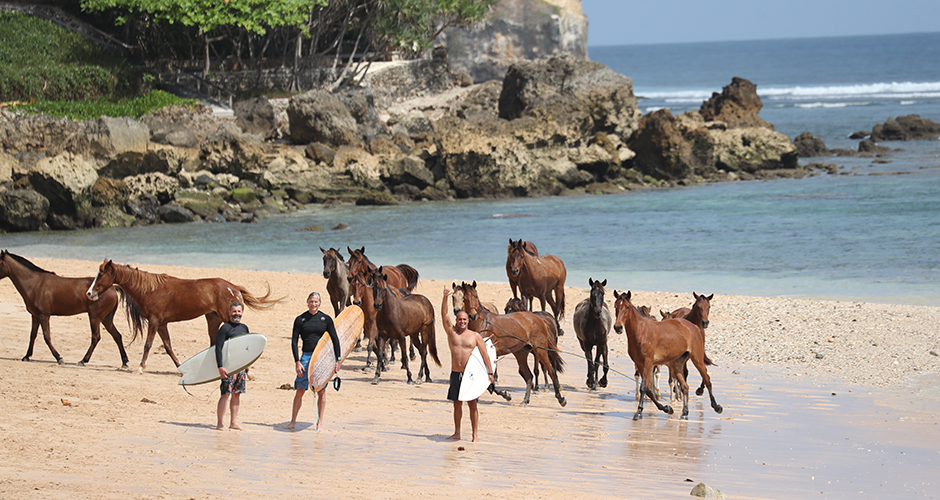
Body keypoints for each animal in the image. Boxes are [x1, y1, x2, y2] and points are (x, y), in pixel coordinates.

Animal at [0, 252, 130, 370]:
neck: (35, 284)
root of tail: (113, 288)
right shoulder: (35, 316)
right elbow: (33, 335)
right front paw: (26, 356)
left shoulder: (44, 315)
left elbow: (47, 337)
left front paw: (59, 358)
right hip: (106, 319)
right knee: (117, 336)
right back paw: (124, 362)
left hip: (95, 317)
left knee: (96, 337)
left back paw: (83, 360)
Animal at [86, 262, 280, 372]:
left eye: (101, 274)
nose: (89, 293)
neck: (150, 290)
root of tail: (234, 288)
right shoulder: (161, 324)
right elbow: (168, 347)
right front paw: (180, 368)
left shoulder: (154, 321)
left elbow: (148, 345)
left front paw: (140, 368)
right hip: (213, 319)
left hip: (227, 319)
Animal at [608, 292, 720, 420]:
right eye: (616, 306)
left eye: (627, 307)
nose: (618, 327)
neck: (641, 331)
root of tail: (693, 326)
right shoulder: (640, 364)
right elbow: (648, 389)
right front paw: (667, 409)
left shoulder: (648, 362)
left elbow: (644, 387)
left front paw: (639, 412)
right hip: (677, 364)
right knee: (685, 386)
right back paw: (685, 413)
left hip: (697, 358)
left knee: (707, 379)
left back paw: (716, 407)